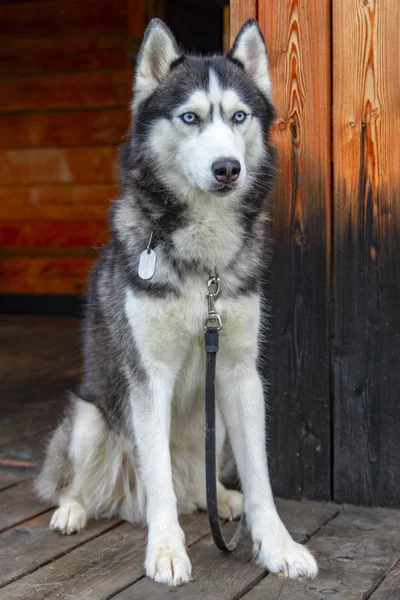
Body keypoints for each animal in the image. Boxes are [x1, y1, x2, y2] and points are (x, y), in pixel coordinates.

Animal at [37, 19, 318, 584]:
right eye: (190, 117)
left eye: (238, 116)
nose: (228, 168)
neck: (202, 266)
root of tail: (125, 500)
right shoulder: (149, 377)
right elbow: (159, 480)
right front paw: (166, 551)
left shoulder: (240, 374)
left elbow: (261, 478)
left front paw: (277, 545)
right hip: (89, 418)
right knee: (86, 482)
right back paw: (72, 510)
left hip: (218, 429)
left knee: (197, 489)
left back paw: (223, 501)